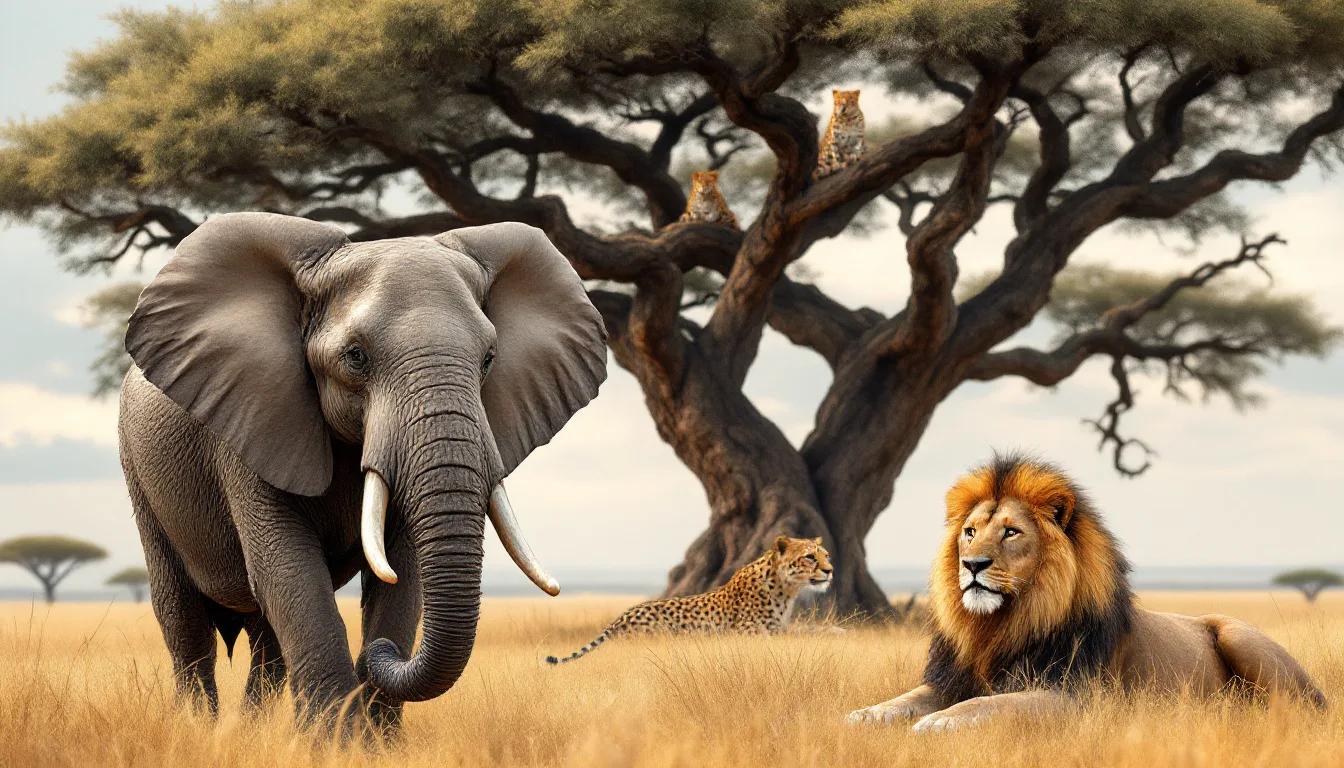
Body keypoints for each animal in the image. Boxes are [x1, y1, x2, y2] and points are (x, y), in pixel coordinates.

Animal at [117, 212, 607, 733]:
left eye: (489, 359)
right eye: (356, 357)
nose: (381, 655)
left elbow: (403, 578)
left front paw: (376, 740)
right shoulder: (252, 421)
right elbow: (289, 574)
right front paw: (334, 741)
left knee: (266, 640)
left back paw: (249, 730)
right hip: (140, 475)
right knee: (185, 623)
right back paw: (203, 729)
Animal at [847, 452, 1326, 732]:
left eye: (1010, 532)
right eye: (969, 532)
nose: (972, 565)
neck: (1000, 625)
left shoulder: (1076, 696)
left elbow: (992, 704)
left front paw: (939, 723)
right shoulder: (951, 677)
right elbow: (906, 699)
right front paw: (866, 714)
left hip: (1241, 637)